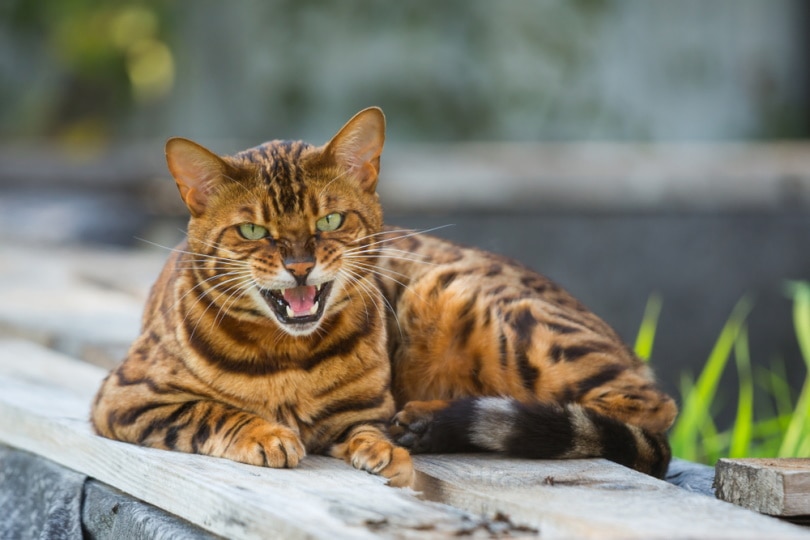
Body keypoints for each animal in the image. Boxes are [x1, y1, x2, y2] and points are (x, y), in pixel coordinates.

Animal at [91, 106, 676, 486]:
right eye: (253, 231)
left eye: (330, 221)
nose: (299, 265)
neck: (289, 357)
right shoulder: (126, 397)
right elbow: (210, 411)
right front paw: (266, 433)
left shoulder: (363, 409)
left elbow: (368, 428)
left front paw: (383, 449)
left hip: (472, 305)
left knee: (642, 409)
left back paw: (429, 421)